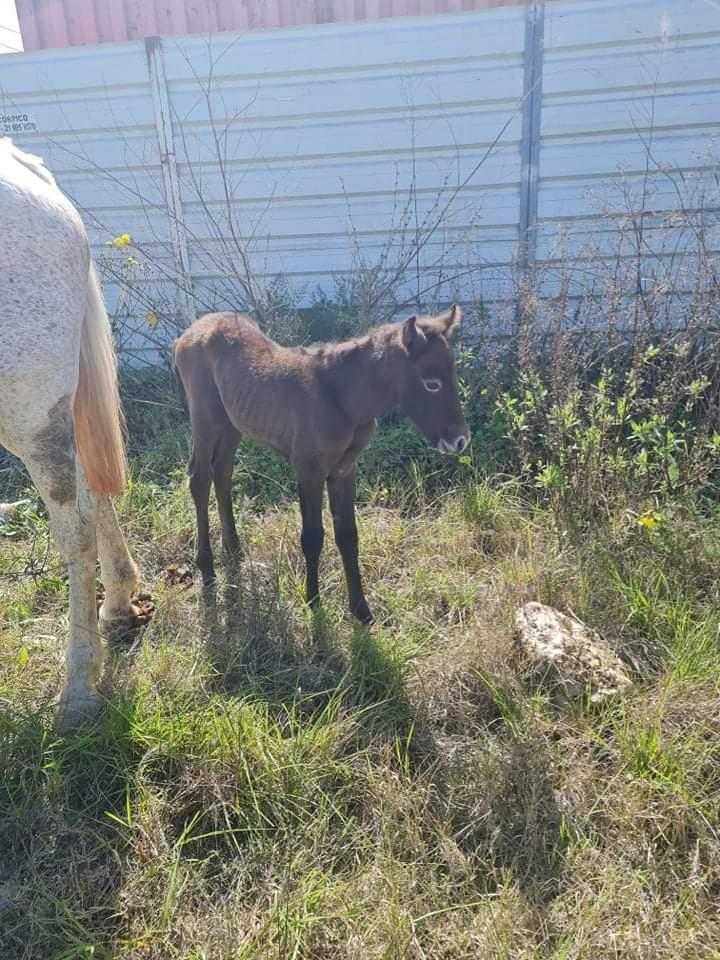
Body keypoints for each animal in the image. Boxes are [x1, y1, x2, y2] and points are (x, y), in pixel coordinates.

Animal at [173, 306, 466, 624]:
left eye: (454, 374)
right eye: (431, 383)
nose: (460, 441)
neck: (341, 397)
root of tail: (190, 332)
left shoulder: (344, 470)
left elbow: (348, 535)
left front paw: (361, 610)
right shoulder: (309, 471)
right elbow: (312, 537)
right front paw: (312, 601)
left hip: (232, 424)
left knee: (223, 472)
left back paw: (233, 548)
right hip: (205, 418)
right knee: (200, 478)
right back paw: (206, 567)